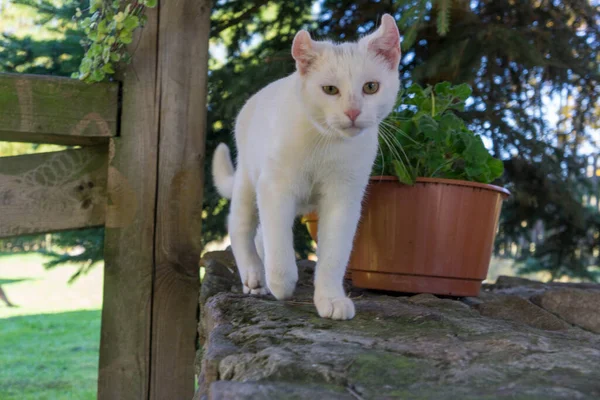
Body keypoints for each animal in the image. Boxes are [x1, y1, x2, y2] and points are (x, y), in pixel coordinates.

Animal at [213, 15, 400, 320]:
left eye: (371, 87)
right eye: (330, 90)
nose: (352, 112)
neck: (326, 143)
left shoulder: (344, 197)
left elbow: (334, 254)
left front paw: (331, 298)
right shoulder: (274, 186)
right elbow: (279, 242)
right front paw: (281, 282)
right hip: (248, 181)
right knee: (240, 226)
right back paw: (255, 276)